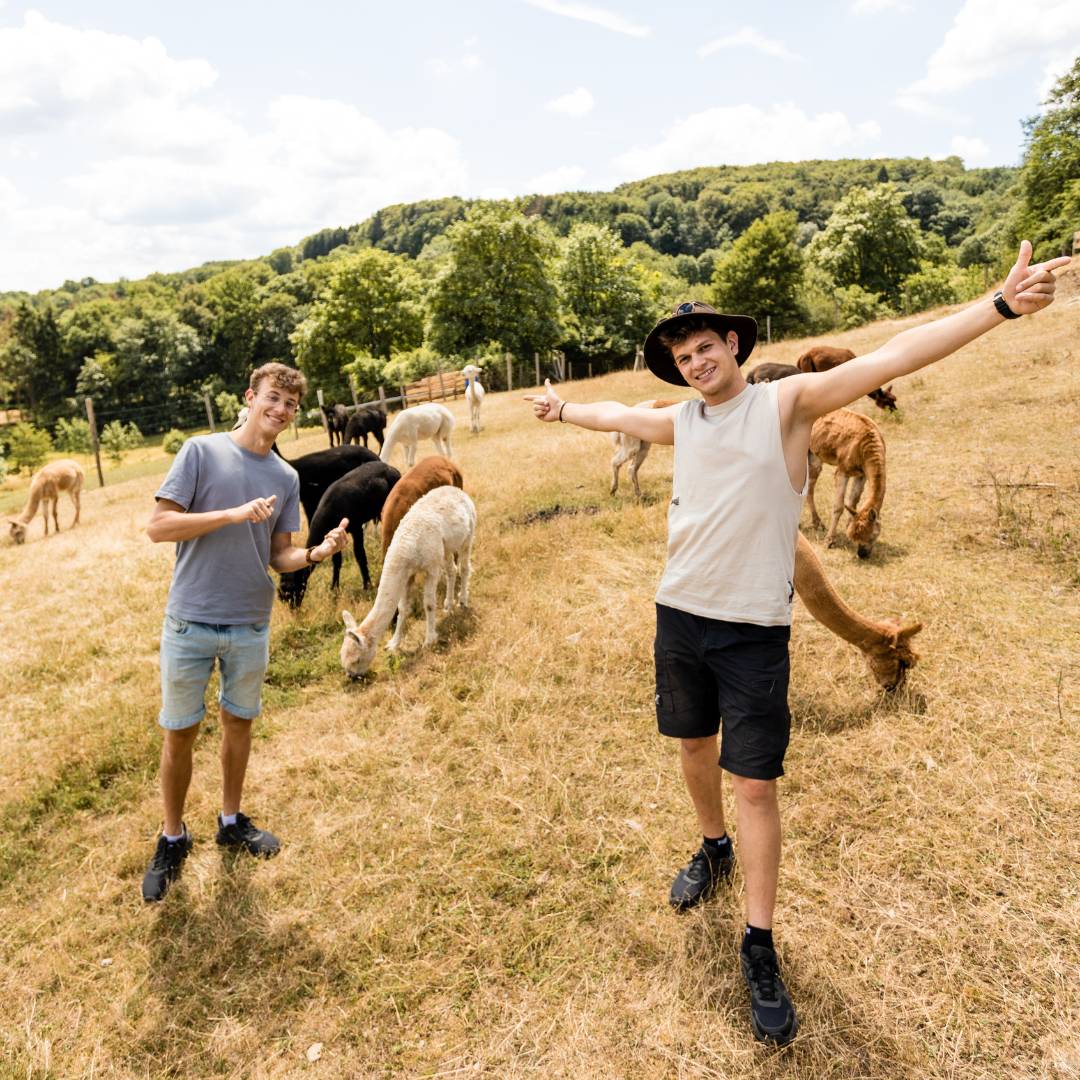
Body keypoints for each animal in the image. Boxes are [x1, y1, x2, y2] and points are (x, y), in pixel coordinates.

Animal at [277, 460, 400, 608]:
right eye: (282, 594)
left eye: (293, 589)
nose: (293, 609)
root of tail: (392, 468)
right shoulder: (334, 536)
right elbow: (337, 561)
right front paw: (334, 588)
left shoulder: (356, 527)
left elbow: (360, 555)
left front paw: (367, 585)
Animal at [339, 485, 476, 677]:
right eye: (342, 656)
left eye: (357, 660)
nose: (352, 676)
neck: (407, 548)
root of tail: (456, 490)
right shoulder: (407, 575)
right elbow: (403, 608)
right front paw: (393, 644)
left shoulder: (431, 567)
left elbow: (429, 604)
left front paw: (429, 640)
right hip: (445, 547)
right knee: (451, 570)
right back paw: (449, 605)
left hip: (467, 535)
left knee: (464, 568)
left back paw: (463, 601)